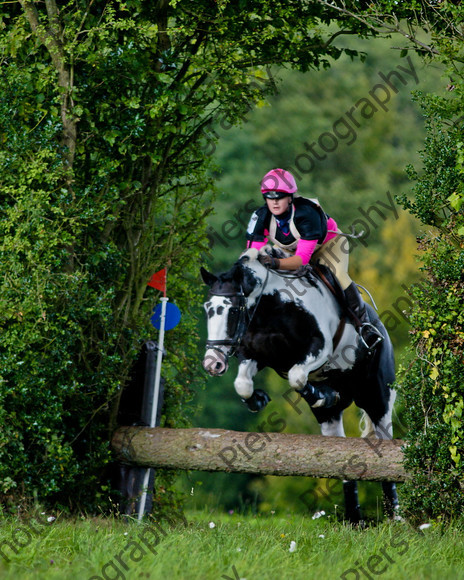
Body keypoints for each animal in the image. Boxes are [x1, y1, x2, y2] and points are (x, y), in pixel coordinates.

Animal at [199, 247, 398, 524]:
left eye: (234, 311)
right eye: (207, 308)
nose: (213, 363)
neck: (274, 307)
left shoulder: (319, 348)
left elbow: (296, 376)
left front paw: (322, 395)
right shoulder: (257, 354)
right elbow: (243, 384)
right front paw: (258, 399)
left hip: (377, 398)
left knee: (385, 445)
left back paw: (396, 518)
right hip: (330, 417)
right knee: (339, 450)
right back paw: (353, 521)